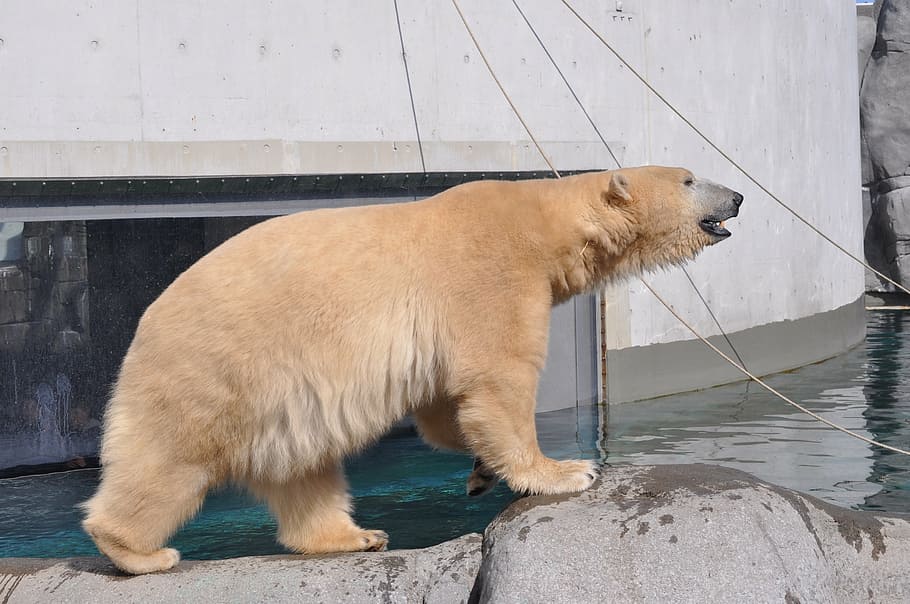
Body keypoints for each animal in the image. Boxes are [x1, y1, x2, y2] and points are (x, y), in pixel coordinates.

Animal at [82, 166, 742, 574]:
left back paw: (354, 535)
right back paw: (138, 551)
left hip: (280, 402)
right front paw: (564, 471)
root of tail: (143, 324)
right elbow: (498, 376)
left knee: (305, 470)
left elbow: (444, 405)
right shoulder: (491, 270)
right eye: (689, 178)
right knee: (167, 463)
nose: (736, 196)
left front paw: (480, 471)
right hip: (215, 367)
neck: (542, 219)